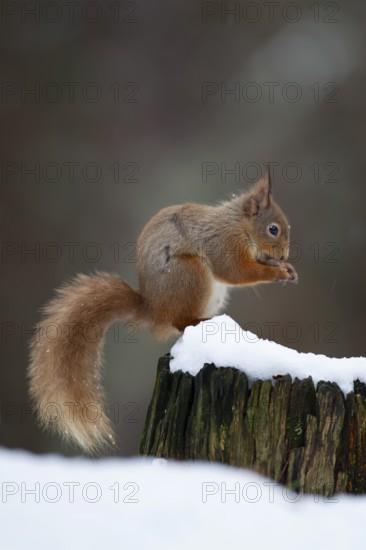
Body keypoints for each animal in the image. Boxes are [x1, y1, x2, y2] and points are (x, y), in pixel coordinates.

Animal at [27, 174, 298, 458]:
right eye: (273, 229)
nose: (283, 256)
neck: (238, 224)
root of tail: (153, 309)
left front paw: (287, 270)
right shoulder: (223, 243)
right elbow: (234, 271)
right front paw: (277, 272)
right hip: (191, 275)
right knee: (179, 321)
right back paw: (202, 323)